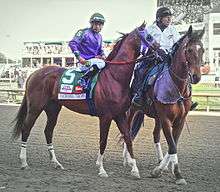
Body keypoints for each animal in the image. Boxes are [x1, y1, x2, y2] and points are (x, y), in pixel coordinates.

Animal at [11, 22, 158, 178]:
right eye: (149, 36)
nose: (162, 51)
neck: (114, 78)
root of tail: (33, 74)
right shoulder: (105, 116)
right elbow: (103, 141)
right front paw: (102, 169)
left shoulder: (120, 114)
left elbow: (128, 138)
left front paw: (135, 170)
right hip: (35, 107)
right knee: (26, 128)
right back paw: (24, 162)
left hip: (53, 108)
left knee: (48, 131)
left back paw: (56, 163)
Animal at [124, 25, 205, 184]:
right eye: (189, 50)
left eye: (202, 50)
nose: (196, 77)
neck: (177, 88)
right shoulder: (166, 119)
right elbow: (172, 146)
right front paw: (171, 173)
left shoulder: (179, 120)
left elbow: (173, 144)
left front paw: (168, 169)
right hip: (132, 110)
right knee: (128, 131)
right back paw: (128, 160)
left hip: (156, 117)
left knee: (155, 135)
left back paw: (159, 160)